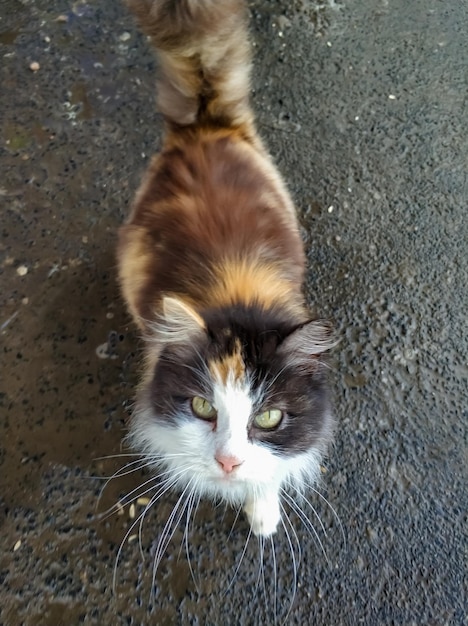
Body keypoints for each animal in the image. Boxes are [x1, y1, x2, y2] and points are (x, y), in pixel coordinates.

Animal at [119, 0, 334, 536]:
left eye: (269, 419)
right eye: (202, 408)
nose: (228, 463)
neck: (238, 298)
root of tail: (204, 125)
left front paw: (262, 512)